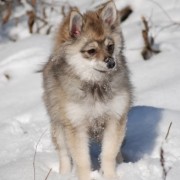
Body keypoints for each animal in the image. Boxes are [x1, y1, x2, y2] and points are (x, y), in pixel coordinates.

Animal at [42, 0, 132, 179]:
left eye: (110, 47)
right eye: (91, 51)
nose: (111, 63)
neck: (95, 84)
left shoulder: (115, 119)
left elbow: (108, 154)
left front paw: (110, 175)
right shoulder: (76, 125)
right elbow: (82, 160)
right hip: (59, 127)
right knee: (64, 154)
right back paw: (64, 174)